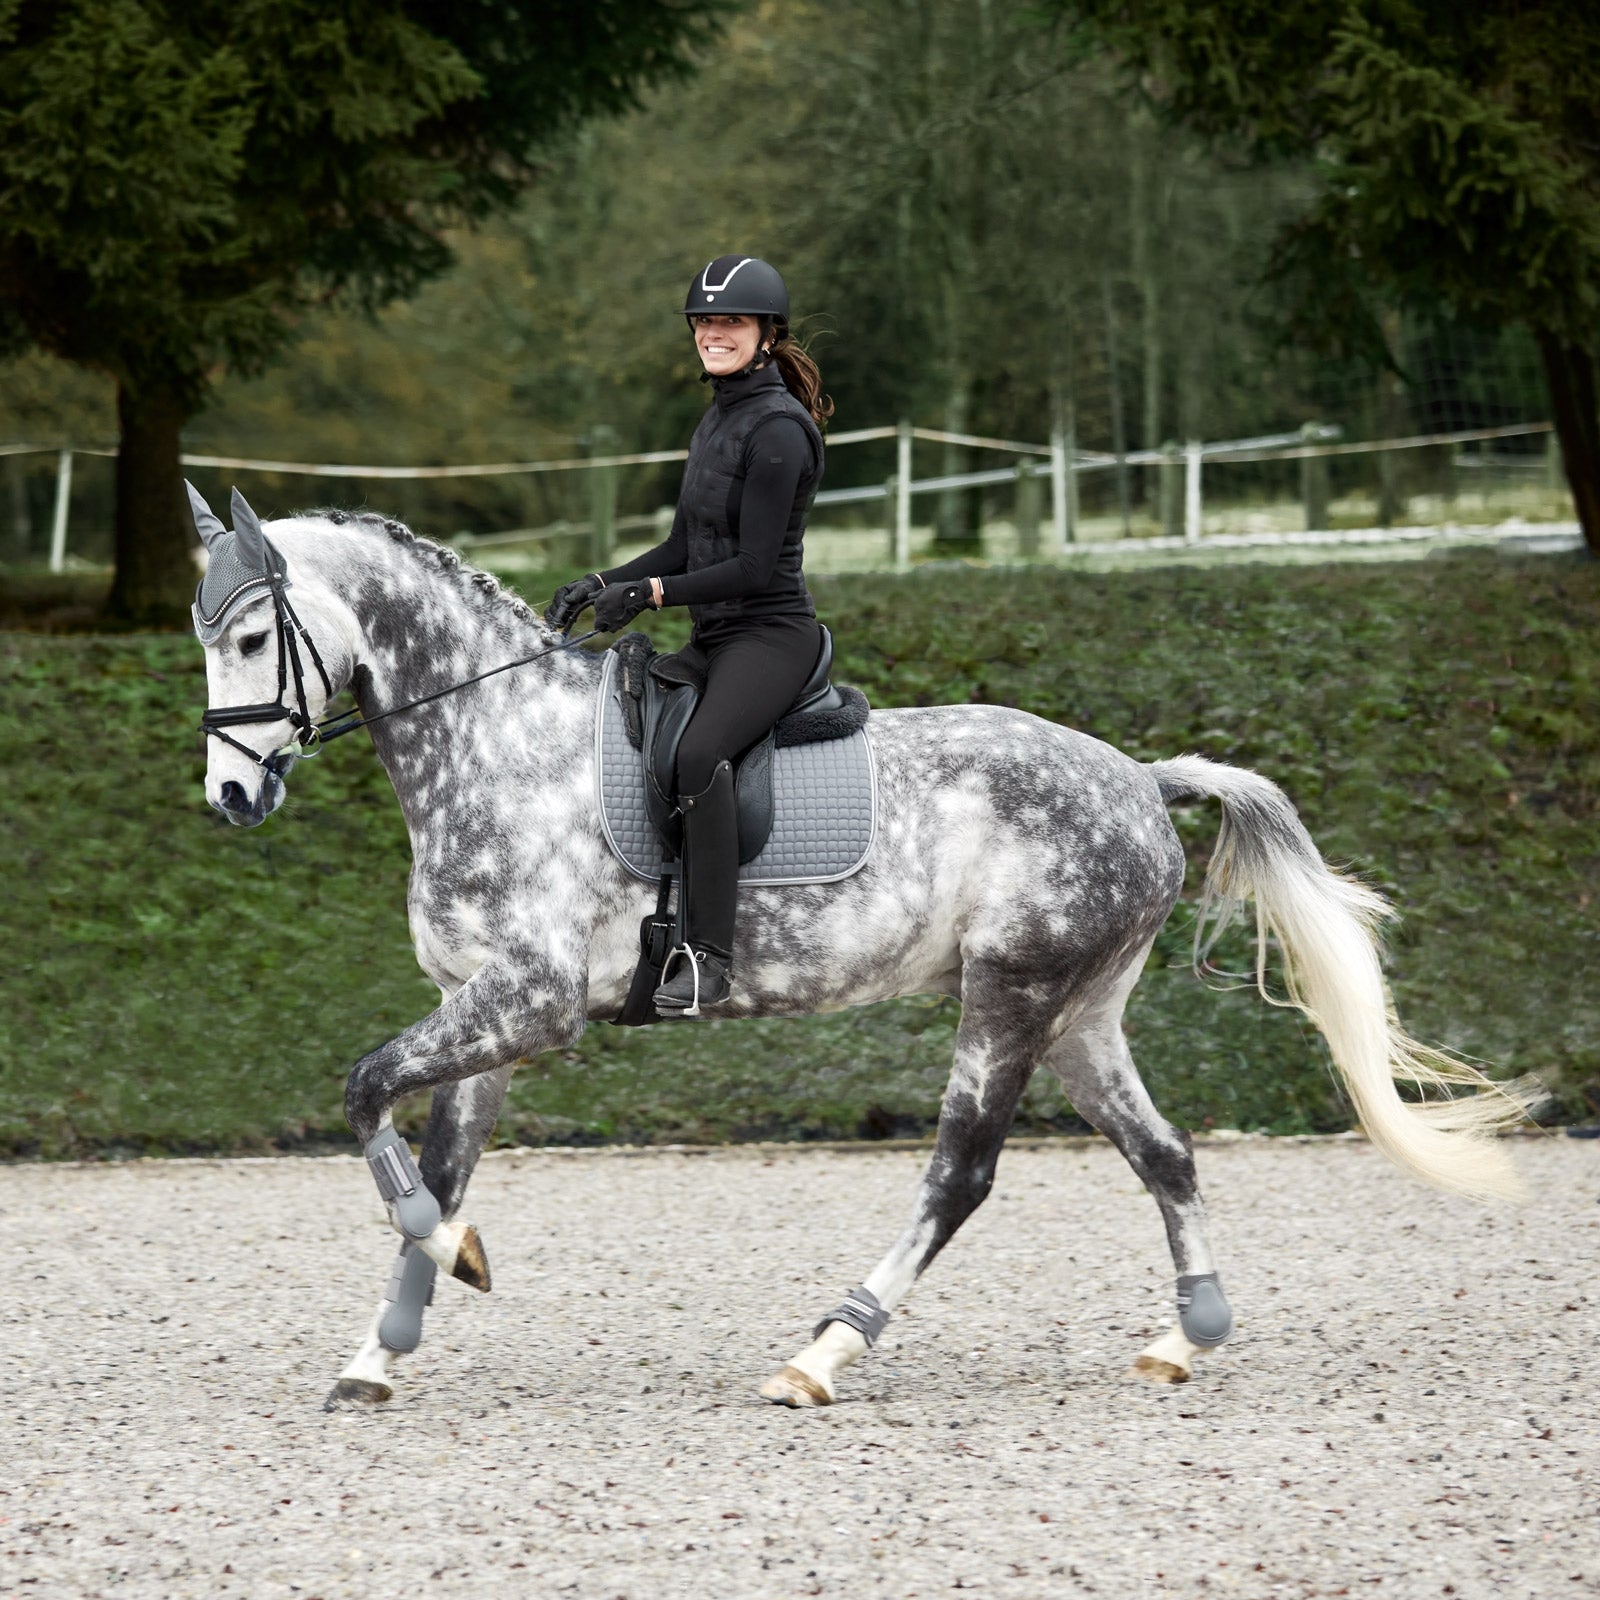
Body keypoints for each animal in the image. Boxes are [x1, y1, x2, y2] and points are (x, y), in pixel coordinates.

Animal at [188, 488, 1529, 1412]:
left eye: (250, 639)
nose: (229, 799)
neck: (496, 742)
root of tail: (1140, 779)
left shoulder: (531, 1000)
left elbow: (364, 1090)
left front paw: (449, 1259)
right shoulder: (484, 1012)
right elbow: (435, 1158)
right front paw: (384, 1343)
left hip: (1009, 998)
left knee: (960, 1176)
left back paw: (824, 1350)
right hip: (1079, 1016)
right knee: (1166, 1152)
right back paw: (1182, 1335)